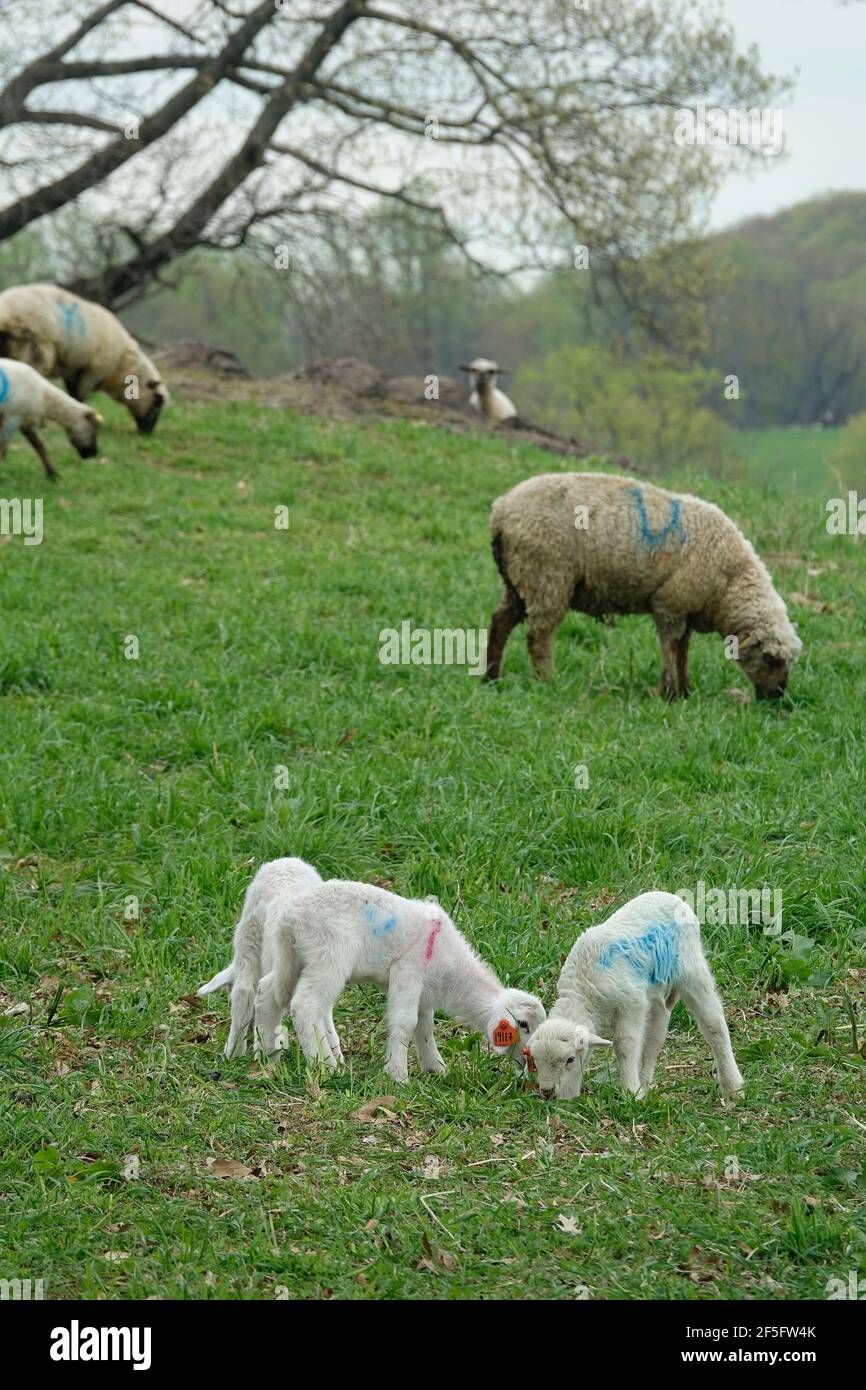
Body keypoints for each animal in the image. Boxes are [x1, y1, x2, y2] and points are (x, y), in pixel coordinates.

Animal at [0, 283, 167, 434]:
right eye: (157, 402)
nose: (148, 432)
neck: (122, 364)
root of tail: (6, 314)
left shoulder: (73, 369)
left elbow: (73, 392)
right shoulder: (92, 371)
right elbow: (79, 394)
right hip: (35, 350)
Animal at [251, 878, 546, 1082]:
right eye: (522, 1024)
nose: (530, 1062)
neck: (451, 971)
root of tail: (291, 917)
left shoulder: (424, 992)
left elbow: (424, 1029)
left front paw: (436, 1068)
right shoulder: (408, 971)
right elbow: (405, 1023)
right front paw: (398, 1076)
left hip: (293, 957)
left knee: (267, 991)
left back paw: (267, 1056)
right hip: (329, 955)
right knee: (305, 1003)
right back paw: (325, 1066)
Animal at [486, 471, 802, 700]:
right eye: (770, 659)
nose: (776, 697)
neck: (729, 582)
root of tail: (501, 510)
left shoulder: (686, 609)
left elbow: (683, 652)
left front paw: (685, 691)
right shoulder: (670, 605)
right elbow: (671, 648)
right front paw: (668, 692)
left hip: (519, 579)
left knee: (500, 622)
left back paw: (491, 677)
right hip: (547, 576)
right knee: (539, 635)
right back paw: (547, 681)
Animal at [525, 891, 744, 1103]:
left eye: (569, 1059)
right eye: (535, 1062)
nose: (547, 1092)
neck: (583, 994)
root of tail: (675, 898)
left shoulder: (631, 1002)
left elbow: (624, 1044)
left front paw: (630, 1092)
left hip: (690, 967)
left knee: (713, 1022)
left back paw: (733, 1086)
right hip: (657, 993)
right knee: (655, 1036)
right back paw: (644, 1084)